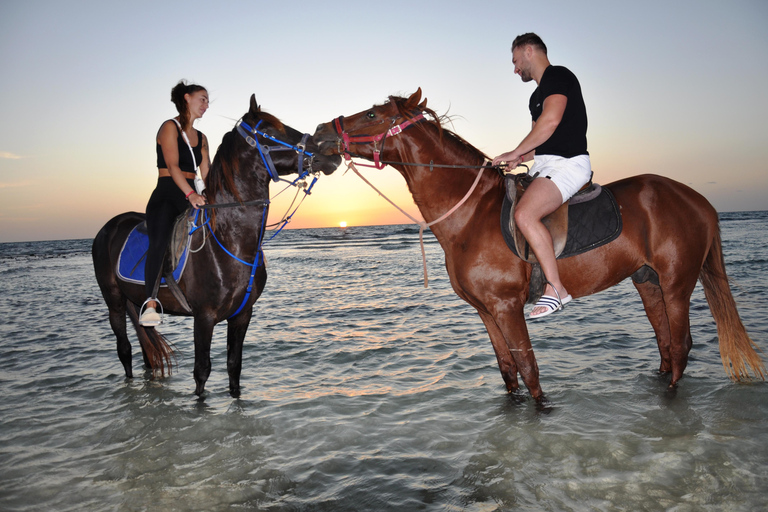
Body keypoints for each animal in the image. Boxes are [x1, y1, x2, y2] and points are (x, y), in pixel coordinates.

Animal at [92, 97, 340, 400]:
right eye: (270, 132)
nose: (332, 151)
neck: (230, 239)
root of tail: (110, 226)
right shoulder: (204, 317)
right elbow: (202, 371)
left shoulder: (242, 315)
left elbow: (234, 366)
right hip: (114, 301)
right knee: (124, 350)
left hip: (134, 301)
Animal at [312, 87, 760, 400]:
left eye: (372, 114)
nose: (318, 134)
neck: (470, 213)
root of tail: (698, 200)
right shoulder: (486, 312)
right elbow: (508, 371)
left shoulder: (507, 306)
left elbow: (529, 371)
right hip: (648, 282)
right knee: (666, 347)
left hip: (676, 283)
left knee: (681, 347)